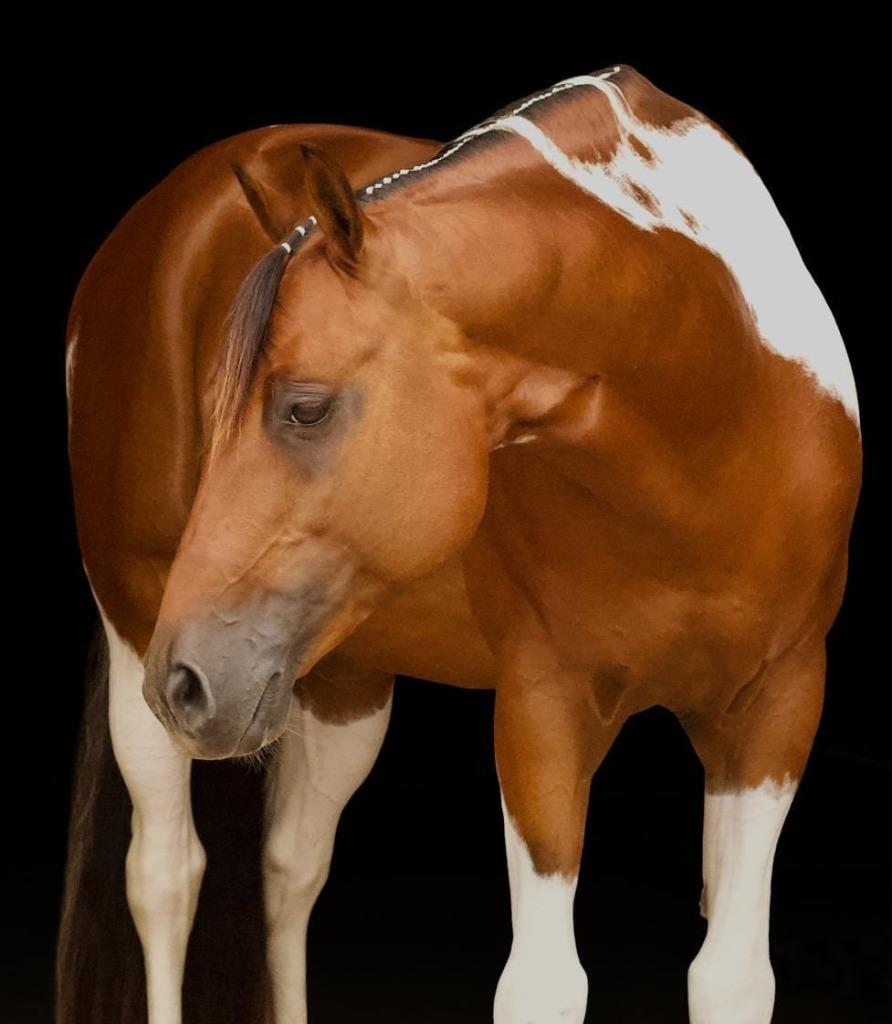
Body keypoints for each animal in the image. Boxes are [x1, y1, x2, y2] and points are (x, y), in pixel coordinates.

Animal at [60, 63, 862, 1024]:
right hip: (135, 622)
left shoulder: (776, 713)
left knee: (290, 869)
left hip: (340, 677)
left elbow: (731, 975)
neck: (714, 416)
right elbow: (544, 984)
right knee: (166, 877)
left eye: (304, 408)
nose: (185, 681)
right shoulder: (544, 711)